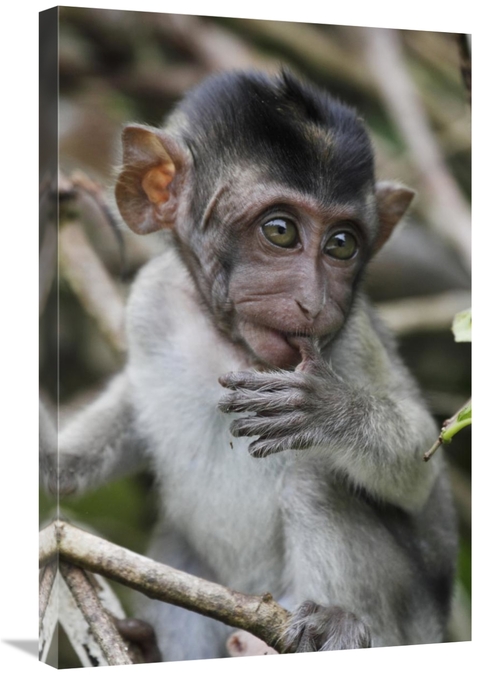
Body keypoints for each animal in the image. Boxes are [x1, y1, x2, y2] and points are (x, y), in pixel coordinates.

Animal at [41, 70, 457, 660]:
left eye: (342, 244)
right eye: (280, 231)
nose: (314, 302)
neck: (231, 342)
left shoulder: (353, 340)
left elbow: (420, 472)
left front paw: (327, 411)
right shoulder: (149, 303)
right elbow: (83, 456)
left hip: (410, 628)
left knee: (314, 480)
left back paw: (332, 627)